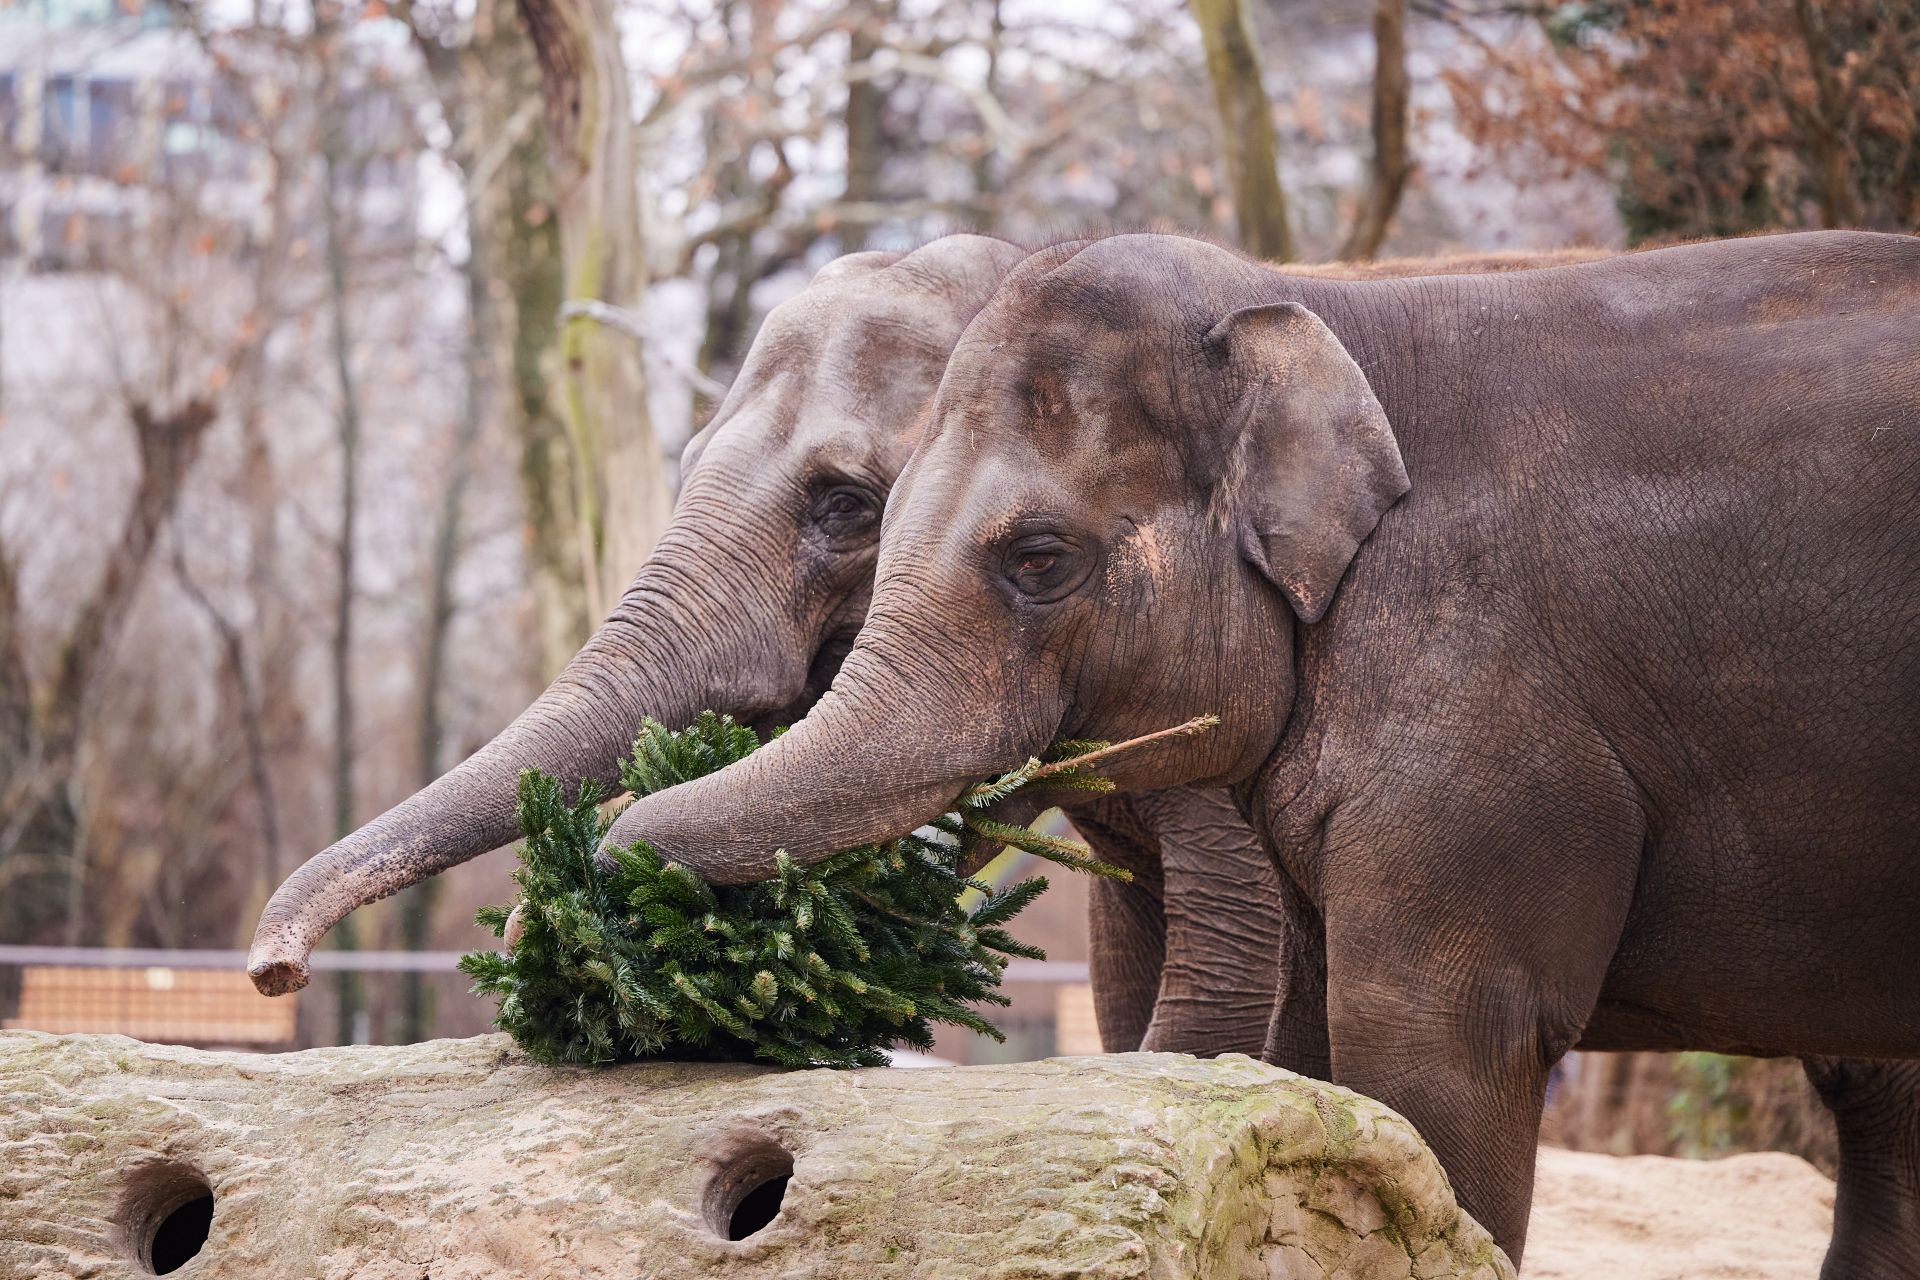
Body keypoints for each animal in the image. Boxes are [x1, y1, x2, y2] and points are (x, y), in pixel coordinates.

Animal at [610, 225, 1920, 1274]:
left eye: (1039, 559)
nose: (597, 863)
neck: (1306, 303)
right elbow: (1292, 1028)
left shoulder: (1483, 704)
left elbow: (1415, 1044)